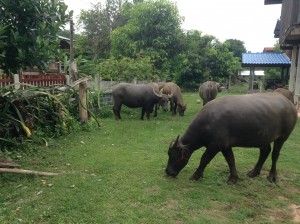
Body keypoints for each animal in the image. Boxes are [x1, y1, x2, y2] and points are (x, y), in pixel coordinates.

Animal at [166, 92, 298, 184]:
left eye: (172, 154)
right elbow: (231, 160)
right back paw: (254, 172)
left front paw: (196, 175)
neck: (207, 122)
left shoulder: (215, 145)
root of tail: (289, 104)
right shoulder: (225, 146)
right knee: (265, 151)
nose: (167, 171)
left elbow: (204, 159)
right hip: (263, 137)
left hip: (282, 137)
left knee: (275, 155)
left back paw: (272, 176)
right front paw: (233, 178)